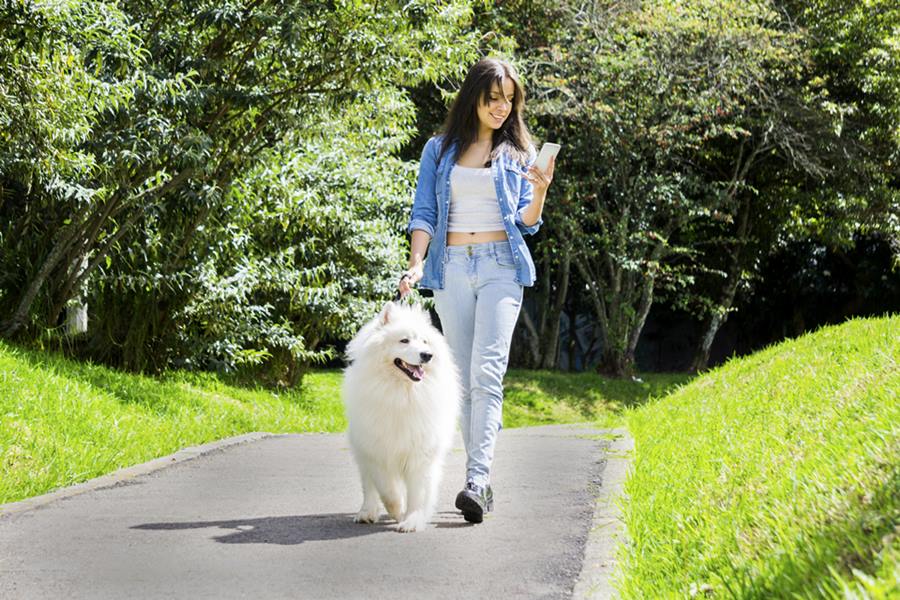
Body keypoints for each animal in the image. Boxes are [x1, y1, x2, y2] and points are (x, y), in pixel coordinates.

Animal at [342, 302, 460, 532]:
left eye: (424, 341)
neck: (403, 394)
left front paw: (411, 521)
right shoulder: (377, 451)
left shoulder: (421, 453)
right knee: (369, 487)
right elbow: (388, 491)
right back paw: (366, 513)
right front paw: (398, 512)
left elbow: (418, 493)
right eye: (404, 340)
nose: (427, 355)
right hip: (362, 451)